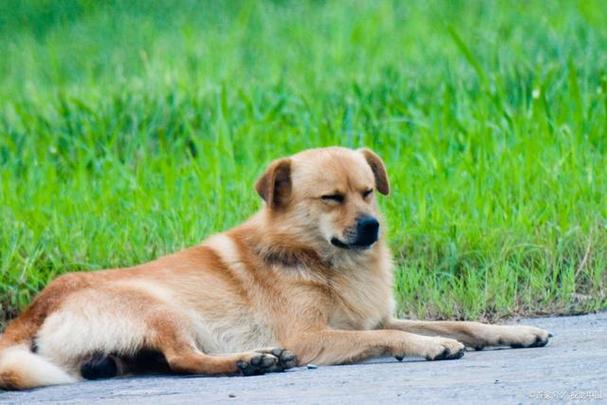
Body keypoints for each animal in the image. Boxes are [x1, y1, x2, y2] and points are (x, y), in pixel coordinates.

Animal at [0, 146, 552, 388]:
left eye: (368, 191)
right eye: (331, 198)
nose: (372, 227)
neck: (318, 258)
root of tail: (39, 305)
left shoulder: (378, 315)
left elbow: (462, 323)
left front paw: (517, 333)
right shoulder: (315, 337)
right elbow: (391, 337)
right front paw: (429, 346)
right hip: (163, 310)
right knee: (183, 359)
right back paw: (252, 361)